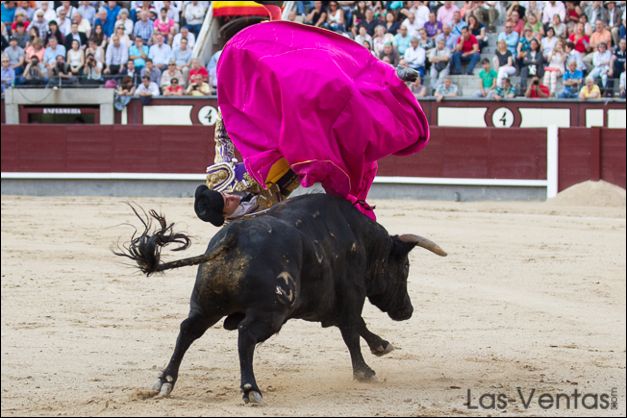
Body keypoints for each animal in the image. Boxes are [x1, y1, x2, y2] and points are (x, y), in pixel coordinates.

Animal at [115, 192, 447, 404]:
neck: (360, 239)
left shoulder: (332, 307)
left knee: (187, 331)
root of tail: (234, 236)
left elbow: (356, 327)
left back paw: (165, 381)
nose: (407, 310)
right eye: (404, 267)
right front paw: (365, 372)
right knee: (246, 336)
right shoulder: (351, 297)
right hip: (271, 313)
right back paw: (251, 389)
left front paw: (381, 346)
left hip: (206, 303)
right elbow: (352, 331)